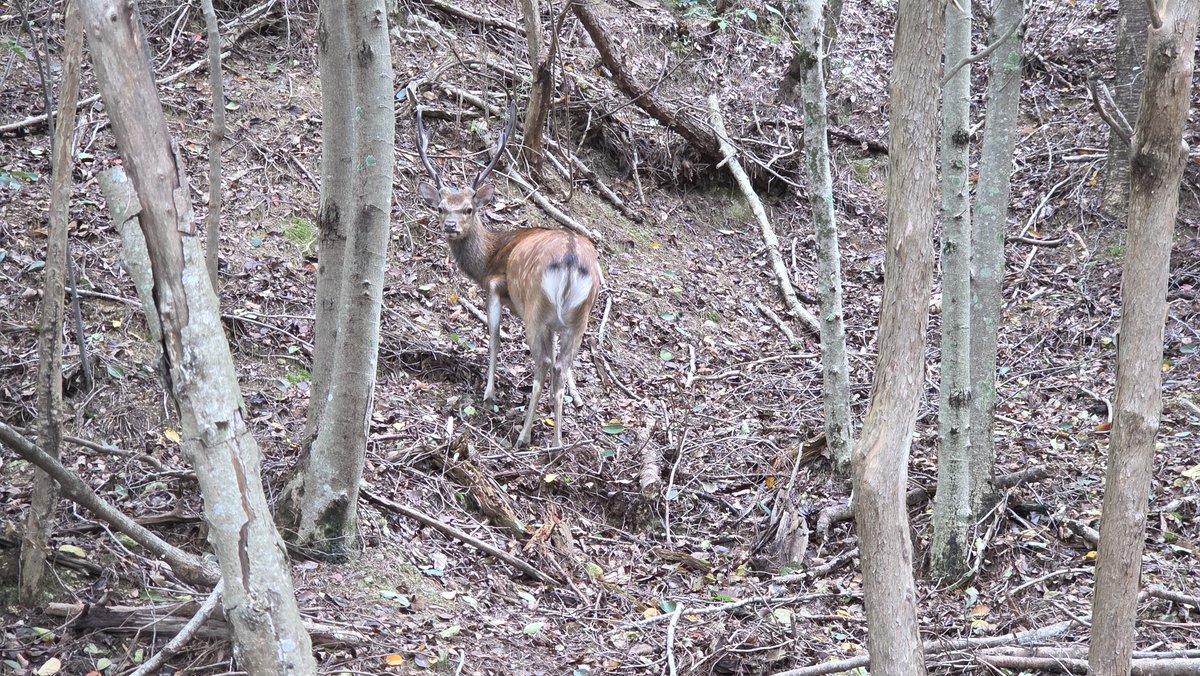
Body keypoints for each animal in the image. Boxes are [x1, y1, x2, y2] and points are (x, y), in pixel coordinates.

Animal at [415, 102, 601, 448]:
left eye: (469, 209)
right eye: (441, 207)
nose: (450, 226)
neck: (490, 256)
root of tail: (571, 257)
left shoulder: (495, 285)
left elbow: (494, 336)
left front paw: (488, 394)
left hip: (536, 308)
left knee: (544, 363)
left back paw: (524, 436)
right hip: (578, 318)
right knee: (561, 366)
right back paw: (557, 443)